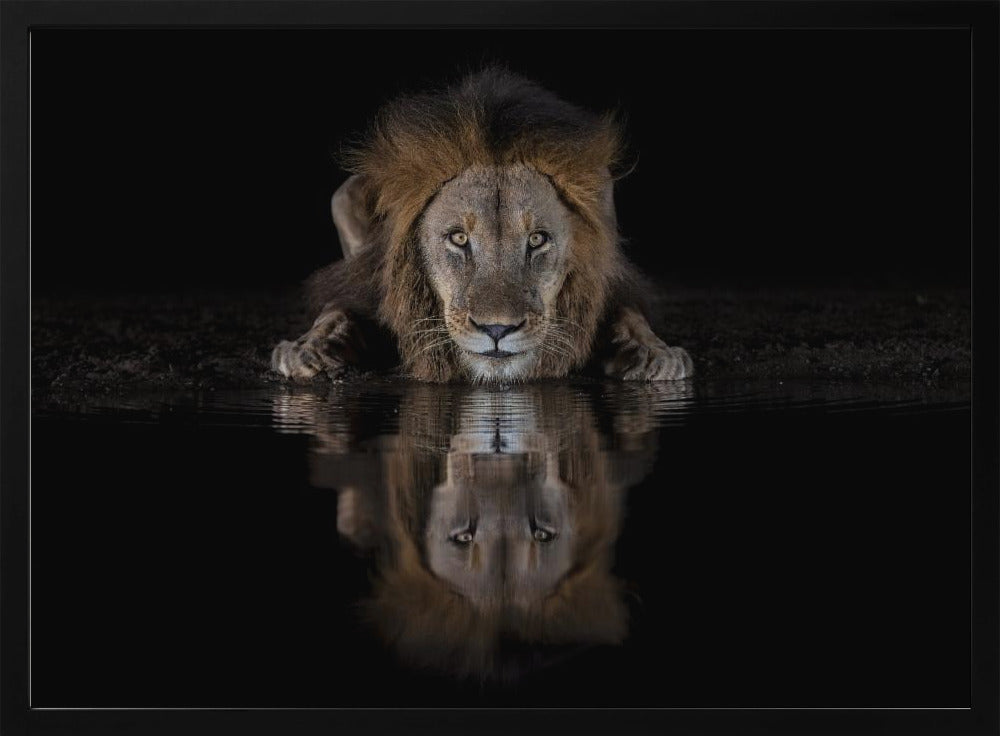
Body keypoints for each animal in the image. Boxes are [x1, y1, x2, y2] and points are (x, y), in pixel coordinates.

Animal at [271, 67, 693, 384]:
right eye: (459, 238)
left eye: (537, 239)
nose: (497, 330)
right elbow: (337, 307)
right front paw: (308, 348)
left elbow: (629, 313)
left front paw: (654, 353)